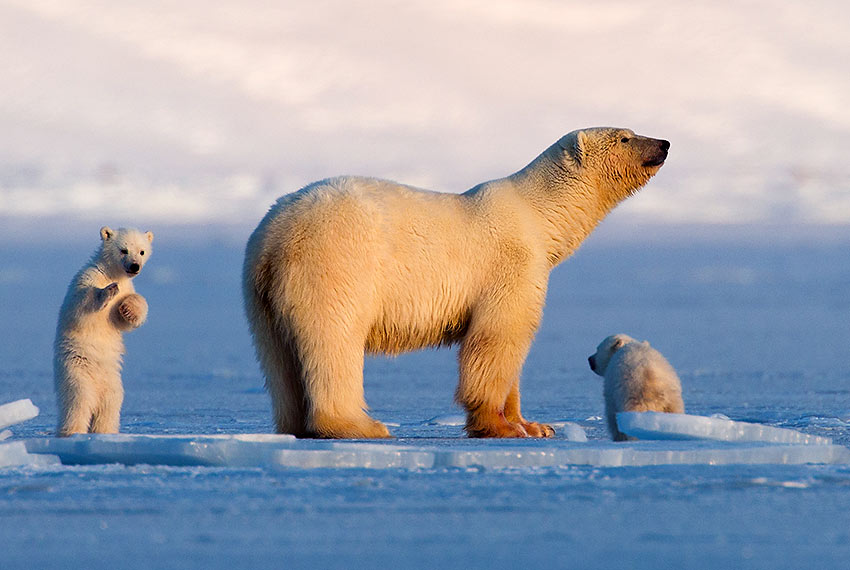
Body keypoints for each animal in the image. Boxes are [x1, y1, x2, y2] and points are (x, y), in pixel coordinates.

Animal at [54, 224, 153, 432]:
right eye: (123, 250)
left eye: (142, 251)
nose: (135, 266)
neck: (111, 273)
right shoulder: (86, 277)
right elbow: (80, 304)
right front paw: (109, 290)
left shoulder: (127, 287)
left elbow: (124, 319)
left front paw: (128, 308)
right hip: (76, 373)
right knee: (77, 404)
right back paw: (72, 432)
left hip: (113, 383)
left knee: (108, 409)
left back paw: (105, 432)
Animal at [242, 126, 664, 438]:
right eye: (625, 137)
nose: (664, 143)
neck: (539, 216)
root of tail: (275, 236)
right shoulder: (510, 265)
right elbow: (497, 340)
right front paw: (501, 427)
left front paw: (535, 425)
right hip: (337, 264)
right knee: (334, 340)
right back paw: (360, 425)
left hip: (260, 294)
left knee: (278, 359)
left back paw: (295, 425)